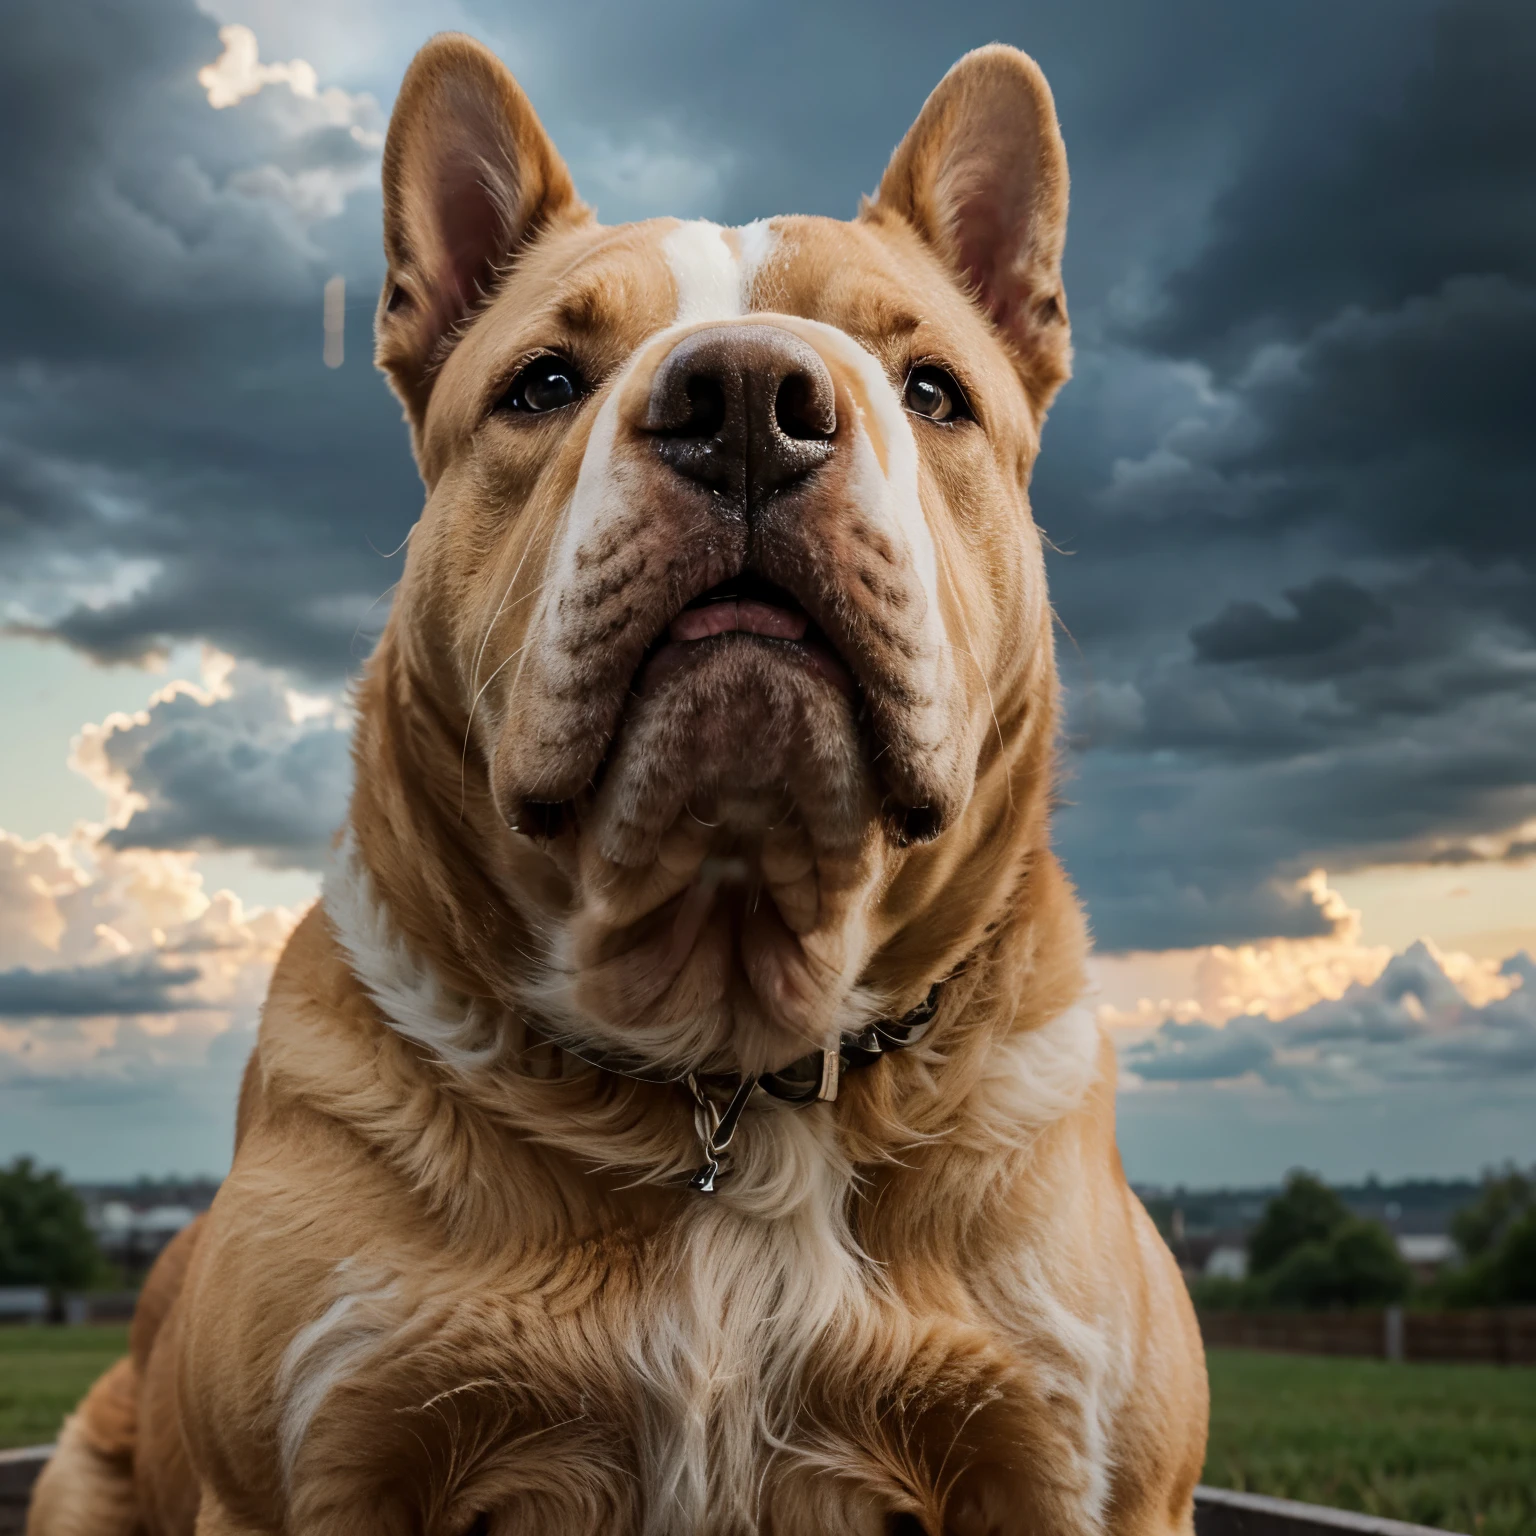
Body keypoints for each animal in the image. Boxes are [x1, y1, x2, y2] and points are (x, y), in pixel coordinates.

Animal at [29, 36, 1210, 1536]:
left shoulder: (1066, 1467)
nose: (751, 404)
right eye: (542, 383)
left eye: (934, 389)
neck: (728, 1066)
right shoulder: (320, 1465)